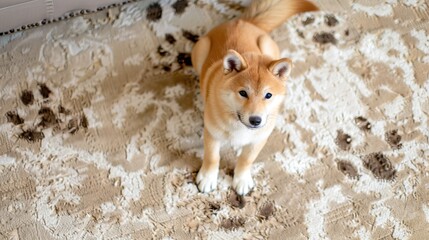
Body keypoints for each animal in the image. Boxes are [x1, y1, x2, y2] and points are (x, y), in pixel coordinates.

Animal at [191, 0, 318, 195]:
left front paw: (241, 179)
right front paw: (207, 178)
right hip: (199, 50)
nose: (256, 120)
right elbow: (212, 157)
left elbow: (246, 160)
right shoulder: (212, 134)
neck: (239, 125)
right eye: (243, 93)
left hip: (268, 46)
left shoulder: (259, 139)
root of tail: (244, 22)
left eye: (268, 95)